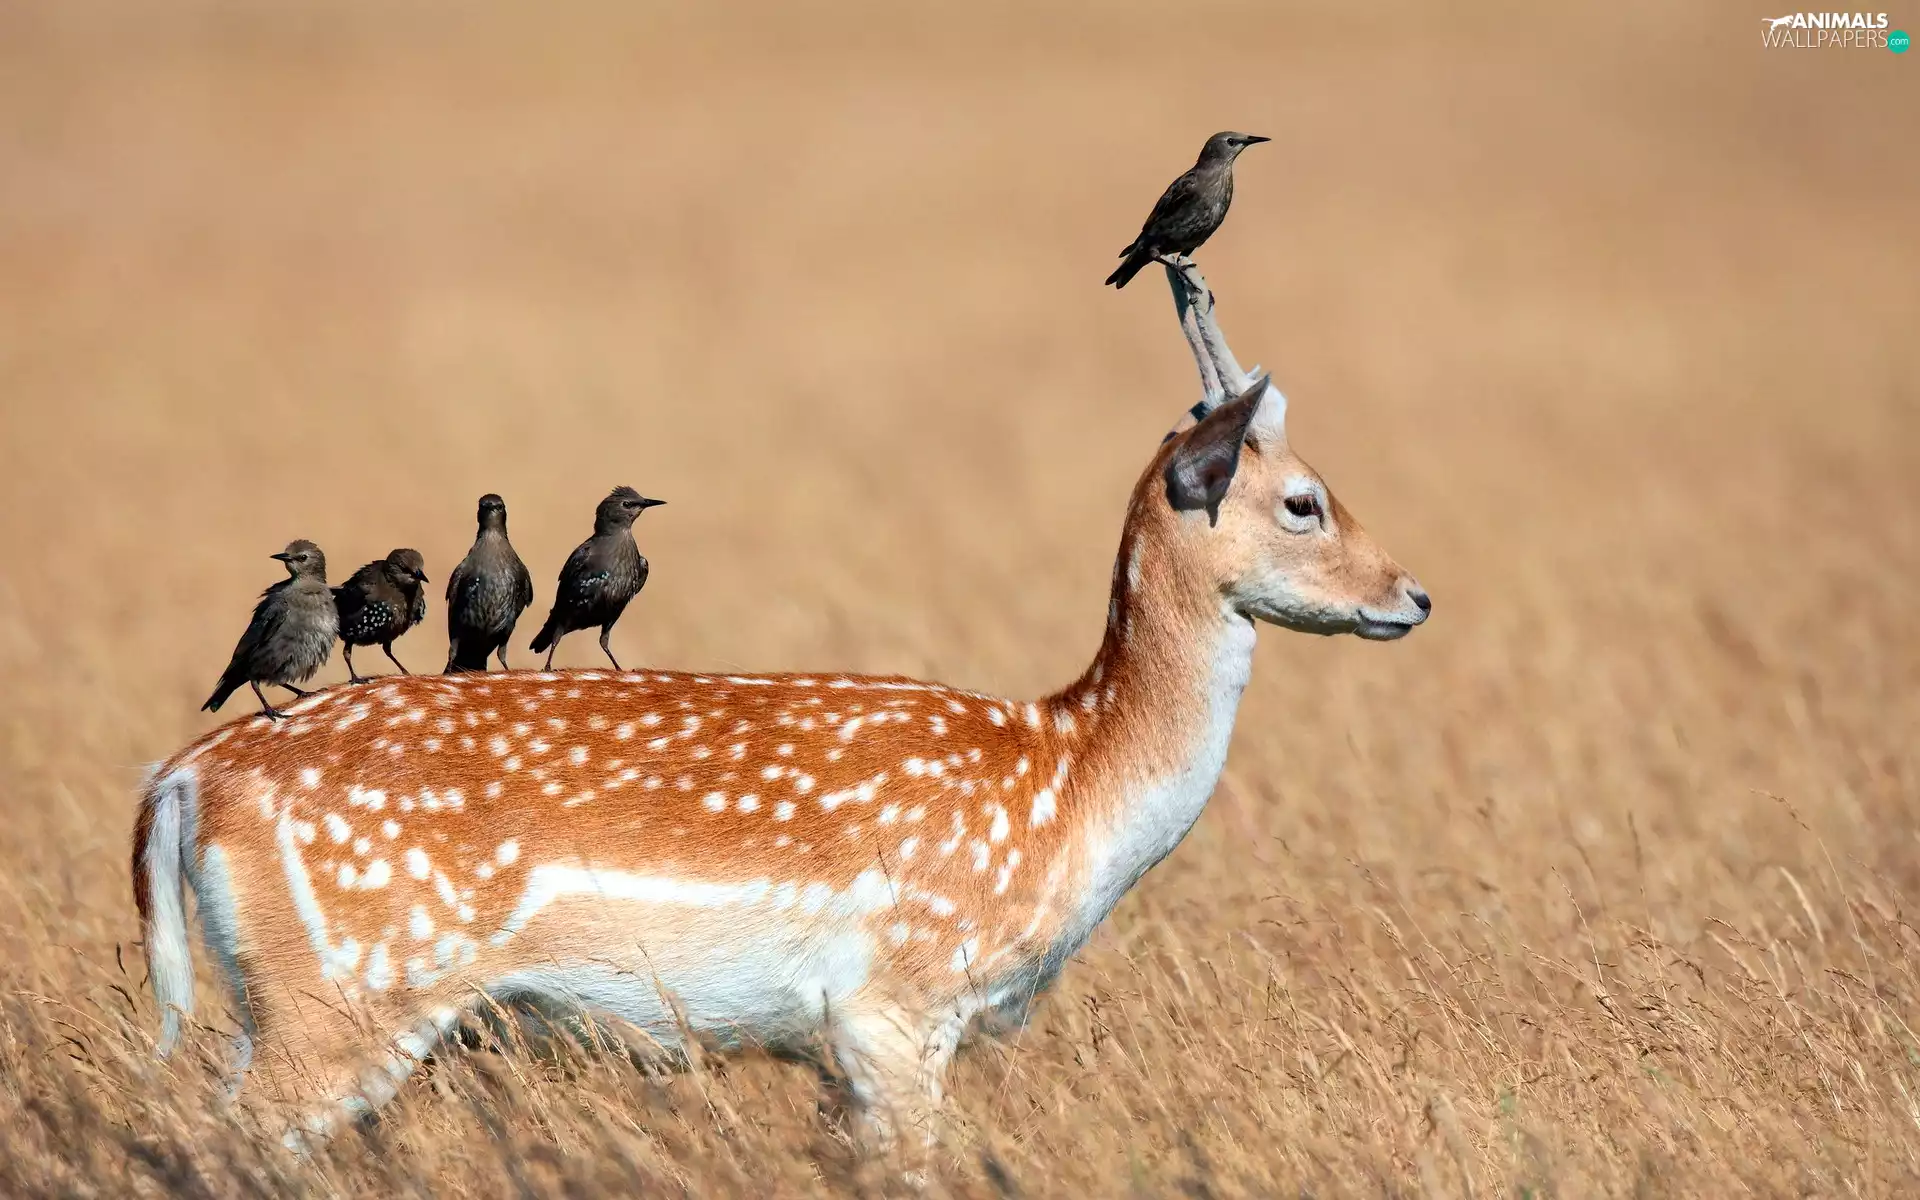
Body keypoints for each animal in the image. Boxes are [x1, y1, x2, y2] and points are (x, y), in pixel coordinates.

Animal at [132, 257, 1430, 1157]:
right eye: (1305, 500)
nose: (1412, 595)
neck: (1068, 782)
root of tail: (181, 783)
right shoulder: (896, 1004)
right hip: (337, 994)